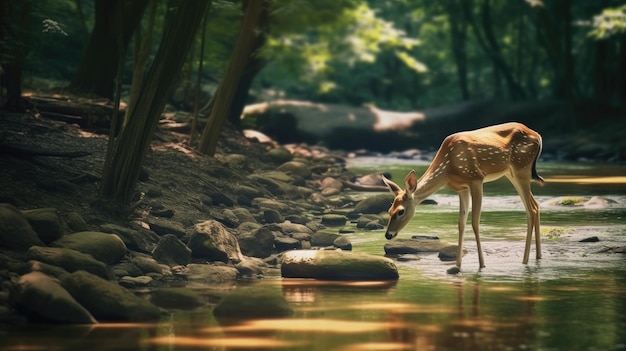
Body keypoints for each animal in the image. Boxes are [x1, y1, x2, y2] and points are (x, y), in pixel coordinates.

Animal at [380, 122, 540, 274]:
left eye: (401, 211)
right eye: (389, 210)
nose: (388, 234)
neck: (448, 170)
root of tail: (537, 135)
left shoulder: (476, 178)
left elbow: (475, 222)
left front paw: (482, 265)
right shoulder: (462, 188)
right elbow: (461, 223)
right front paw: (457, 265)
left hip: (521, 168)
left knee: (531, 209)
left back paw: (525, 261)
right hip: (511, 172)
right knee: (535, 206)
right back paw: (538, 257)